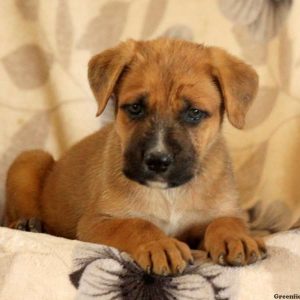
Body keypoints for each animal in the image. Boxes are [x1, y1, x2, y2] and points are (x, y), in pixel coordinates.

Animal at [4, 38, 266, 276]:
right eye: (135, 108)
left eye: (194, 112)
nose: (157, 160)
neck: (169, 194)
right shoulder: (97, 222)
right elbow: (136, 224)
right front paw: (159, 244)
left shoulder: (219, 214)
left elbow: (226, 221)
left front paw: (236, 237)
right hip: (30, 159)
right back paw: (28, 223)